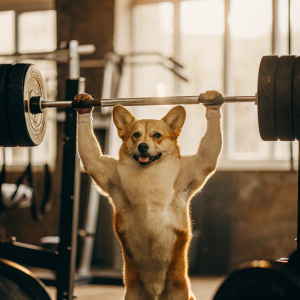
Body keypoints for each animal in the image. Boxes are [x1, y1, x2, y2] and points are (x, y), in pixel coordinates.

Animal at [75, 91, 223, 300]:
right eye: (135, 135)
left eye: (157, 135)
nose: (143, 146)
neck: (148, 171)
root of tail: (155, 294)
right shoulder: (101, 169)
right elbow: (92, 157)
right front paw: (83, 105)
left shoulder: (200, 165)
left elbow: (207, 154)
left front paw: (212, 102)